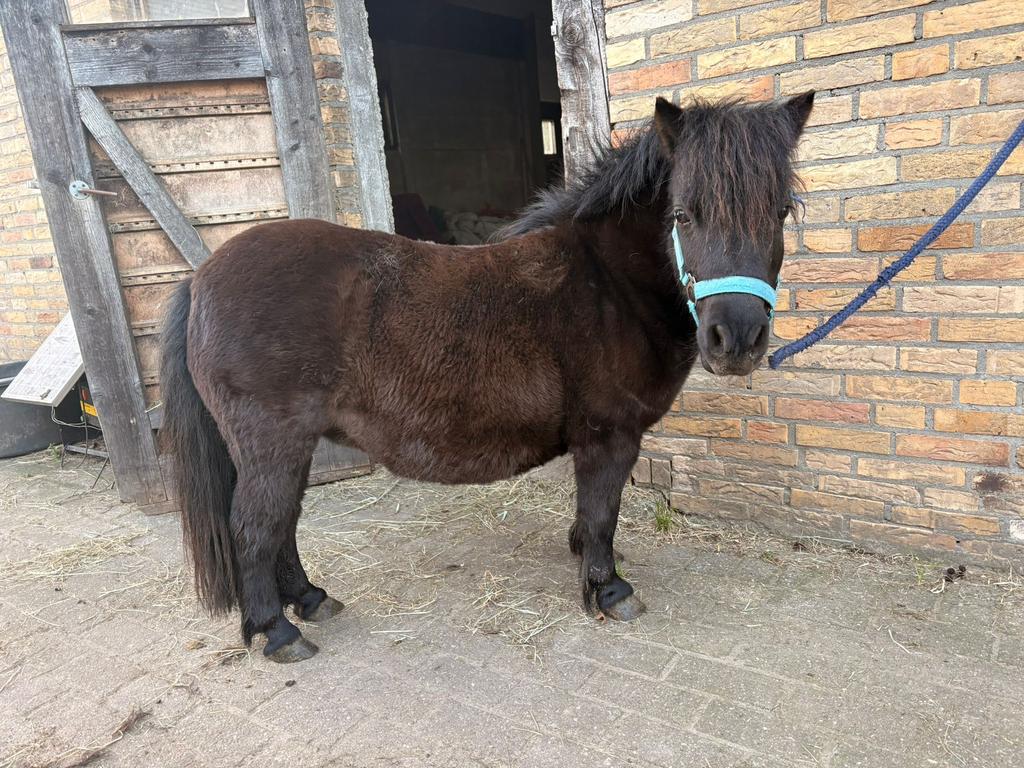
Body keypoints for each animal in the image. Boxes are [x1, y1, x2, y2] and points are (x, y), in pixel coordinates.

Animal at [160, 92, 815, 662]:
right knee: (255, 528)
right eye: (684, 214)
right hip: (273, 442)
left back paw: (310, 600)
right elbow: (602, 510)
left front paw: (588, 561)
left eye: (780, 212)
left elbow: (591, 515)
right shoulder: (610, 434)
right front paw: (608, 590)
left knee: (284, 526)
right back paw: (276, 631)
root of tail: (201, 277)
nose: (737, 340)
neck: (609, 281)